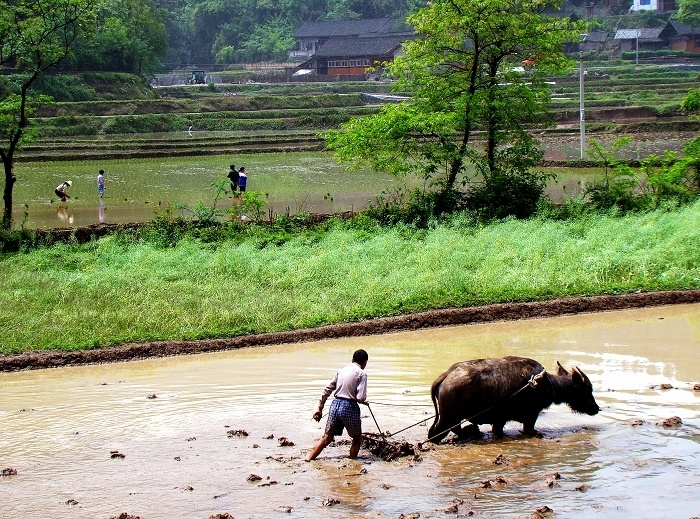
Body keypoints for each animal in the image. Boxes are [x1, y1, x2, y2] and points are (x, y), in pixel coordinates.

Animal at [430, 358, 600, 442]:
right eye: (587, 389)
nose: (596, 408)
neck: (547, 383)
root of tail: (447, 374)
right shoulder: (531, 416)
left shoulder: (499, 421)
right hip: (448, 418)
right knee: (434, 435)